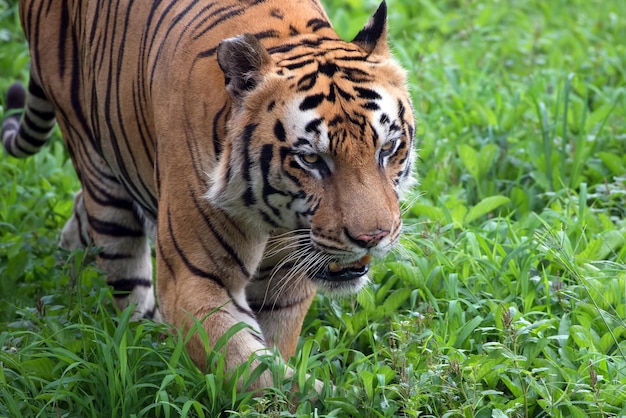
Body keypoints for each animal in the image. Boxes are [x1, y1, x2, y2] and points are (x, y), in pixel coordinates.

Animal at [4, 0, 416, 388]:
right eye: (311, 159)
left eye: (387, 148)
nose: (372, 238)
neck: (274, 216)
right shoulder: (195, 281)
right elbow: (256, 373)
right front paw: (343, 398)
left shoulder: (287, 282)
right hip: (98, 170)